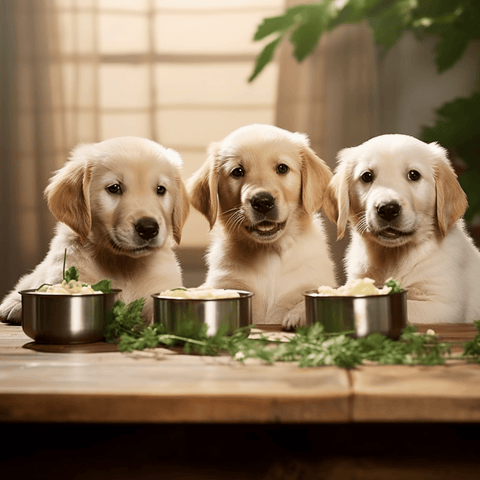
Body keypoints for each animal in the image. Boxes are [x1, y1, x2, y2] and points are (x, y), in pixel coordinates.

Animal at [0, 135, 189, 324]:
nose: (148, 228)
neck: (123, 264)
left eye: (161, 189)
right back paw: (13, 306)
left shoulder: (160, 287)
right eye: (114, 188)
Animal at [186, 124, 336, 328]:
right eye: (237, 171)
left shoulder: (312, 280)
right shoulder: (226, 283)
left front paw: (297, 315)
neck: (269, 251)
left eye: (282, 168)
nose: (263, 202)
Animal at [320, 133, 480, 324]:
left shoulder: (445, 306)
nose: (388, 209)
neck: (392, 256)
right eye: (367, 176)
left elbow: (407, 306)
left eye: (414, 175)